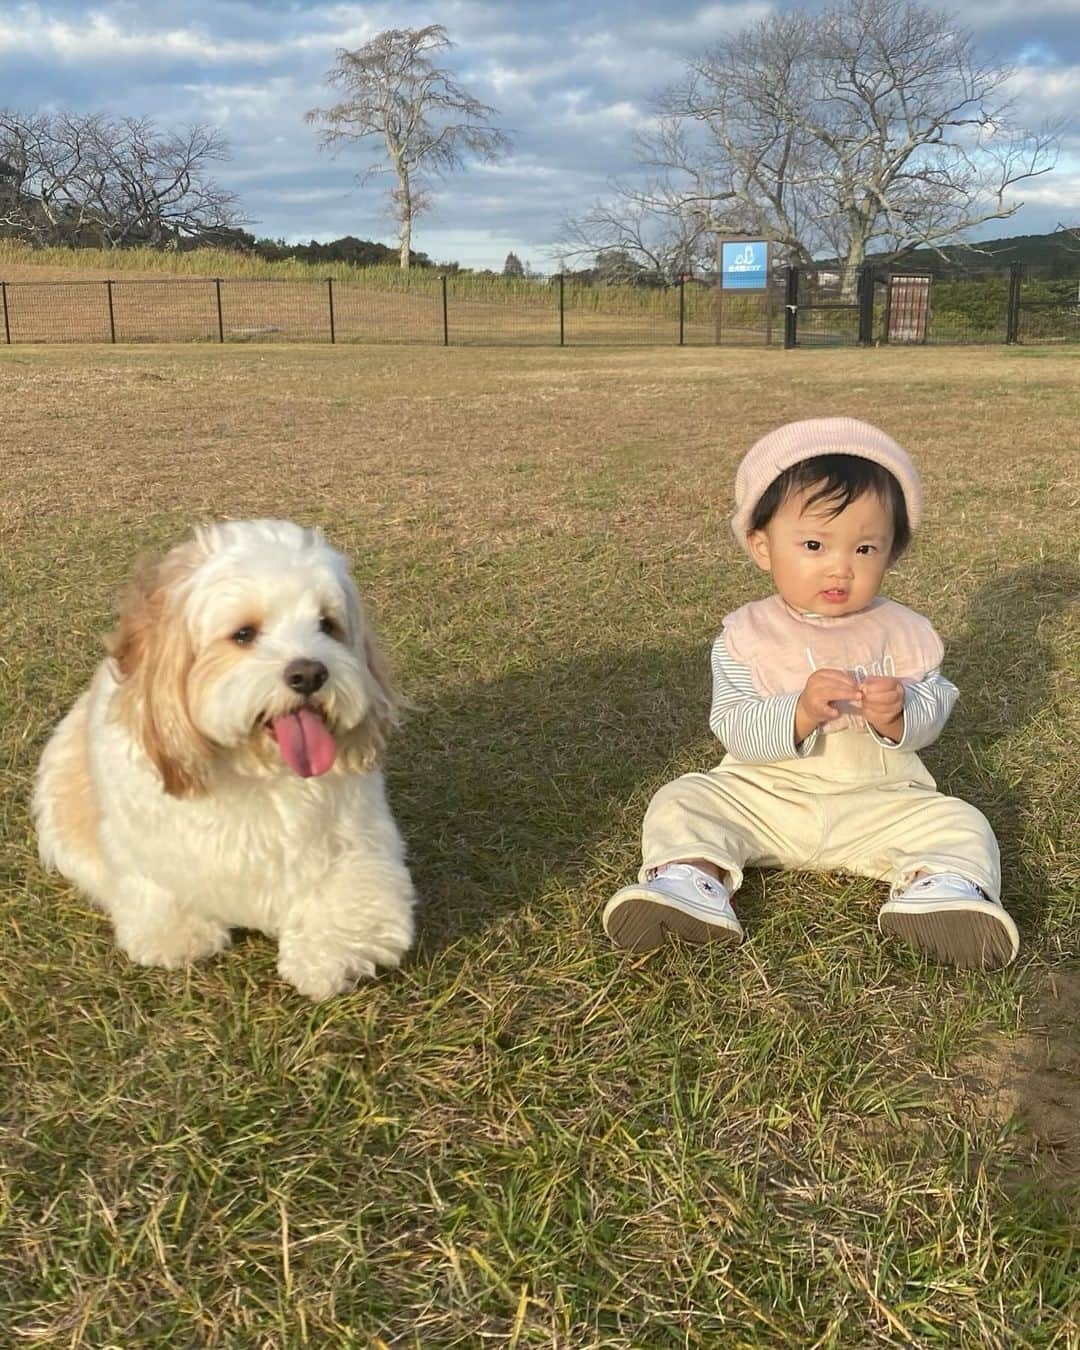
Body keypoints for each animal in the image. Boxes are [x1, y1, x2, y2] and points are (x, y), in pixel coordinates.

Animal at [34, 521, 418, 999]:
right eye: (243, 634)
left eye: (327, 625)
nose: (310, 672)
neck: (257, 768)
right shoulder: (146, 847)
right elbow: (160, 887)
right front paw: (181, 935)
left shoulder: (359, 839)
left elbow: (350, 896)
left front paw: (326, 953)